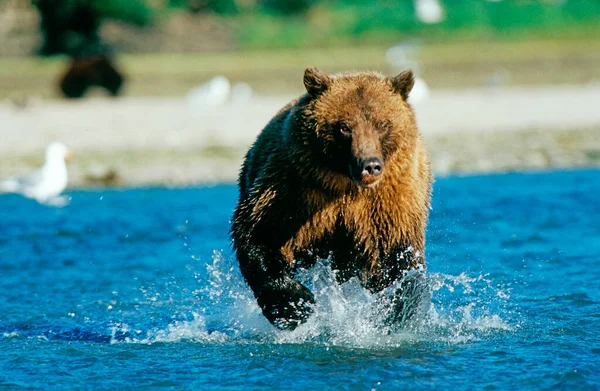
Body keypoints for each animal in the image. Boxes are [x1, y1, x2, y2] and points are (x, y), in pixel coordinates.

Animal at [230, 67, 432, 330]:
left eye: (382, 124)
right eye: (344, 126)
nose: (370, 165)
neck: (346, 184)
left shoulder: (391, 204)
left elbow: (399, 259)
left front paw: (395, 311)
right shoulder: (292, 190)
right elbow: (259, 235)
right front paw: (296, 305)